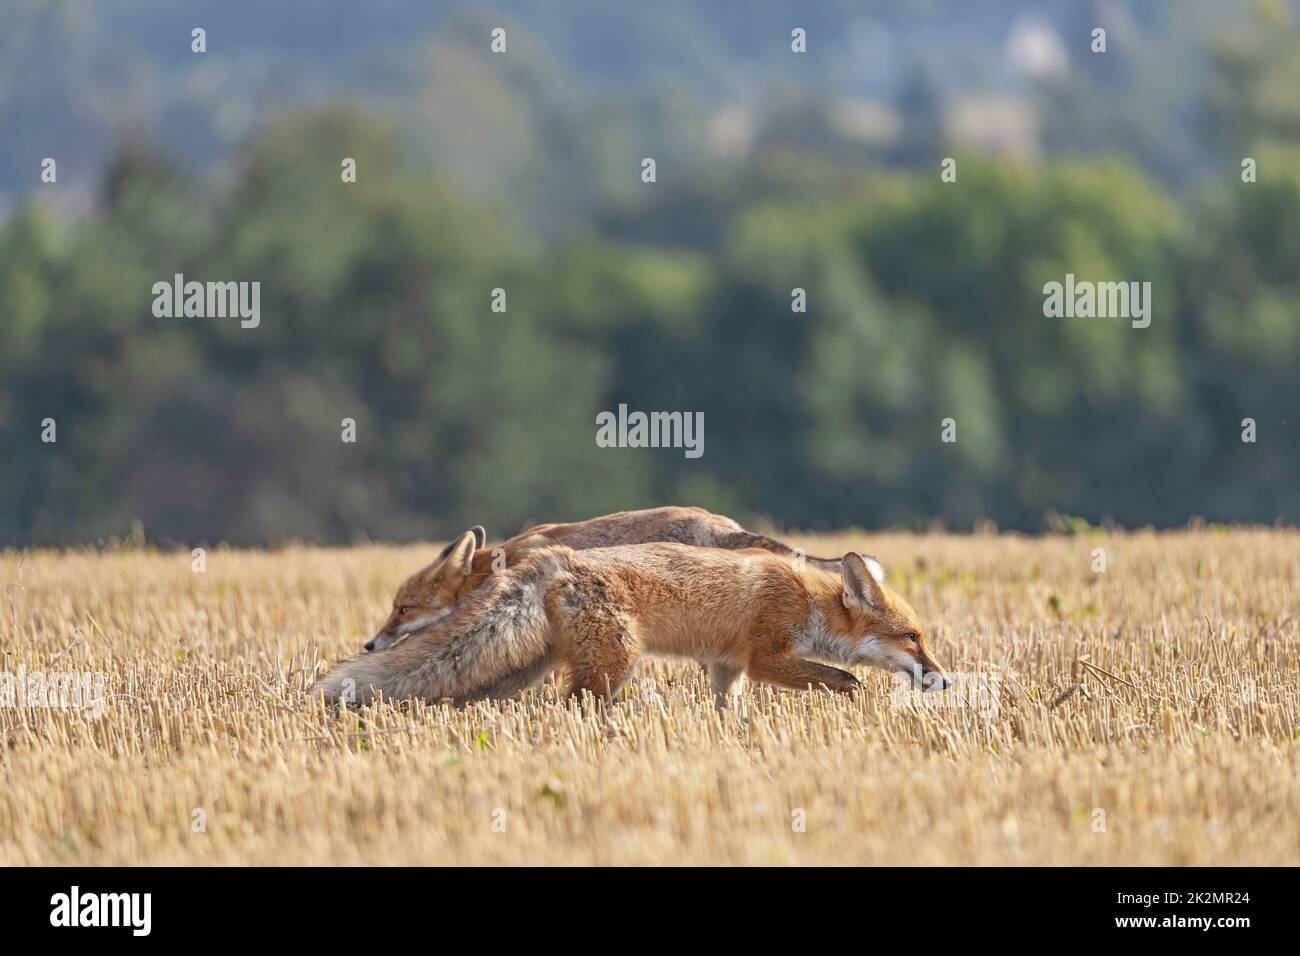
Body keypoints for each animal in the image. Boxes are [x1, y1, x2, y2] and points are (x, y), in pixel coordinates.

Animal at [314, 538, 946, 712]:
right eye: (912, 638)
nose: (943, 677)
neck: (807, 597)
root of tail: (555, 558)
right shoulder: (767, 655)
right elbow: (846, 679)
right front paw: (857, 698)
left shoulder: (728, 665)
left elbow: (727, 707)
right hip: (612, 663)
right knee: (572, 706)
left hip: (526, 666)